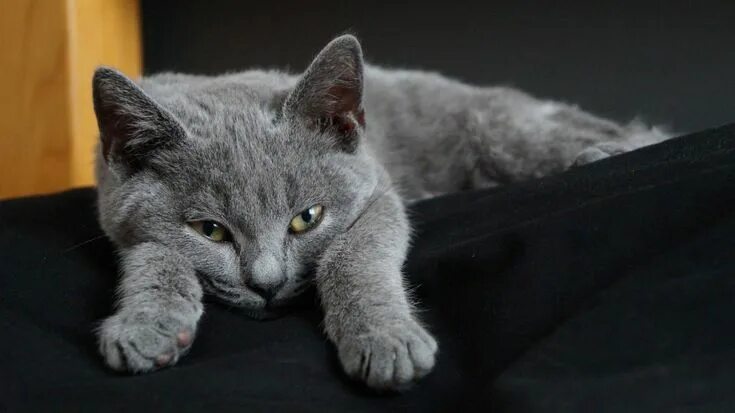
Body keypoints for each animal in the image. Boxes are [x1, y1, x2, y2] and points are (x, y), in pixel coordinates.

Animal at [90, 35, 668, 390]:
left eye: (307, 217)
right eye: (210, 230)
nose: (267, 285)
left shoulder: (379, 193)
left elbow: (354, 257)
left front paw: (384, 340)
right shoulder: (120, 215)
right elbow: (152, 253)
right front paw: (149, 324)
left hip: (506, 130)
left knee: (643, 134)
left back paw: (600, 153)